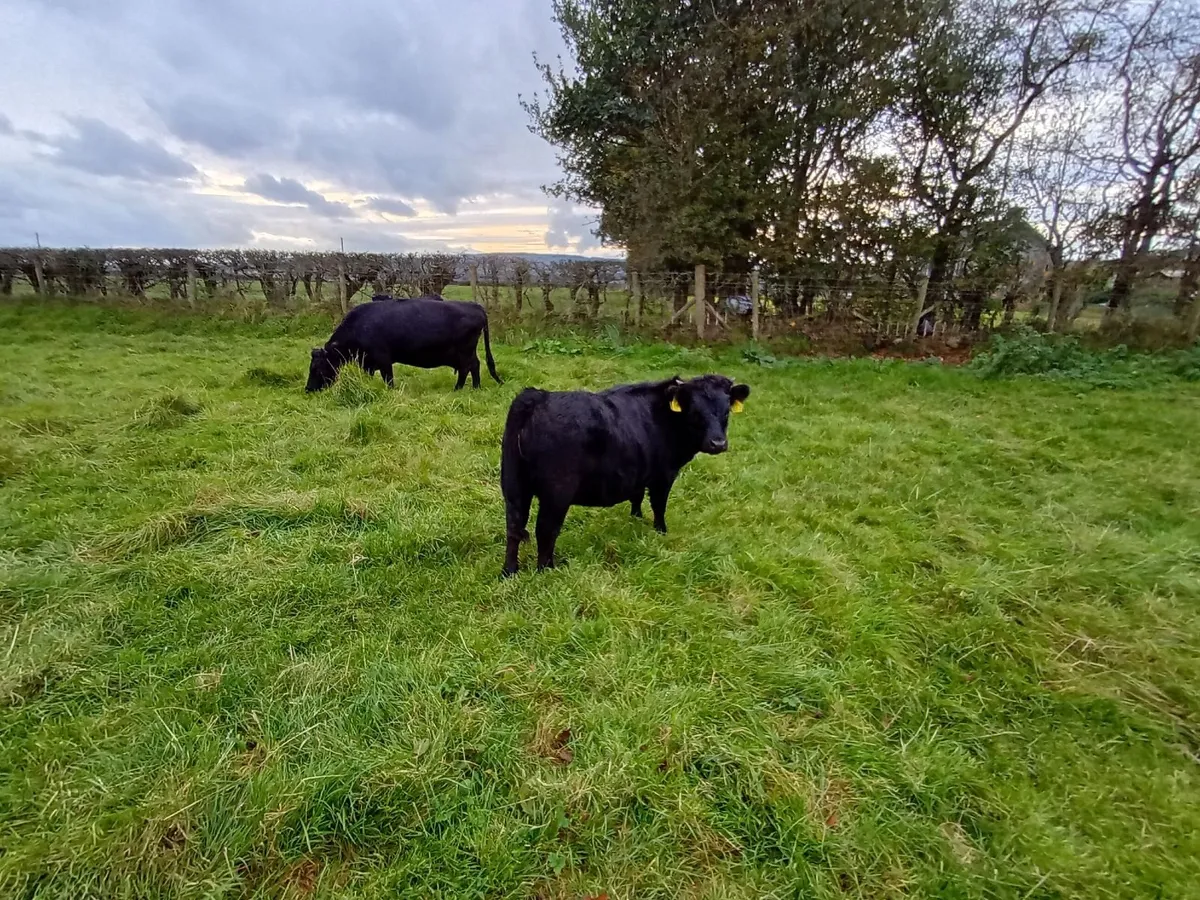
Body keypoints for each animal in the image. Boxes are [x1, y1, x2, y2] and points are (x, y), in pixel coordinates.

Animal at [306, 296, 502, 392]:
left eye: (316, 368)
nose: (308, 389)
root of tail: (475, 306)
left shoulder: (383, 359)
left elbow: (389, 379)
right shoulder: (367, 362)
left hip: (464, 351)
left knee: (468, 367)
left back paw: (463, 388)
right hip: (465, 352)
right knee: (473, 366)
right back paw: (471, 388)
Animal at [500, 374, 751, 577]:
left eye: (726, 411)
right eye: (695, 411)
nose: (718, 443)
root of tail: (537, 397)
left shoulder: (638, 471)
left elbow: (637, 496)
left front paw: (636, 518)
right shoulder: (664, 475)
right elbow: (659, 505)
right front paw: (661, 531)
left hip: (514, 486)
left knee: (514, 527)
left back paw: (510, 572)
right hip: (557, 493)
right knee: (545, 530)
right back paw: (547, 570)